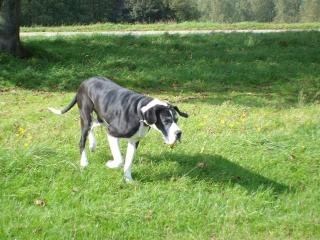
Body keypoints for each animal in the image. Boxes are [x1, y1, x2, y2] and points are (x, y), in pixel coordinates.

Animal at [47, 77, 188, 182]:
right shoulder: (112, 133)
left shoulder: (134, 141)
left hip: (102, 118)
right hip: (86, 117)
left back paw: (93, 145)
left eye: (176, 120)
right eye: (166, 121)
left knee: (94, 125)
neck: (139, 111)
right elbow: (120, 160)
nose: (179, 133)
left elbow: (128, 161)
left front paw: (128, 179)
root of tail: (85, 82)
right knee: (82, 140)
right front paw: (110, 164)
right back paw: (84, 162)